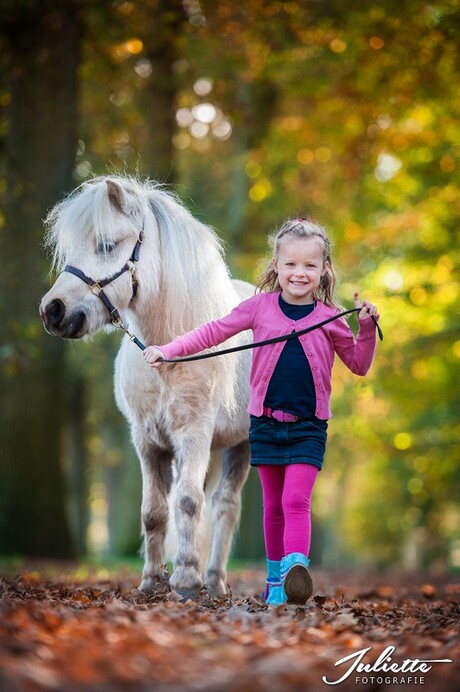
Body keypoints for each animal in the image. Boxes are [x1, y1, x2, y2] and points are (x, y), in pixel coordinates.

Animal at [40, 176, 252, 596]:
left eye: (107, 245)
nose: (52, 311)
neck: (167, 353)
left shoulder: (194, 434)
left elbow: (187, 502)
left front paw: (186, 579)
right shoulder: (148, 441)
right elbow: (154, 511)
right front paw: (153, 580)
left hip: (241, 444)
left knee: (225, 507)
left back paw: (214, 580)